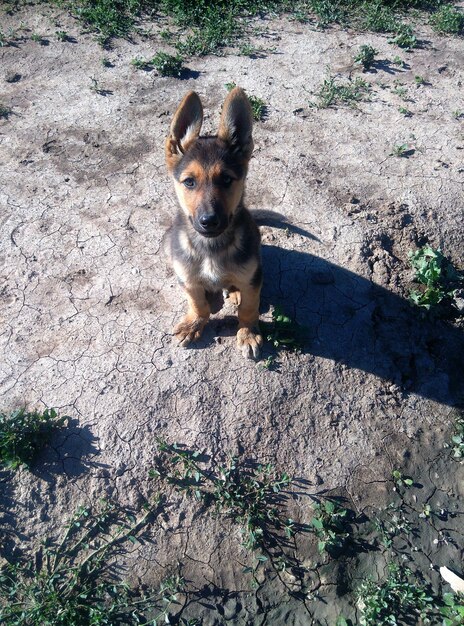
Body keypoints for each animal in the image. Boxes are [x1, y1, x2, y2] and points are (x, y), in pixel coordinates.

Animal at [165, 86, 262, 356]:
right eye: (189, 182)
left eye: (226, 179)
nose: (209, 221)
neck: (210, 248)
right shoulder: (187, 277)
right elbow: (197, 303)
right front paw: (194, 323)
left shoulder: (253, 277)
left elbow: (249, 308)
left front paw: (247, 332)